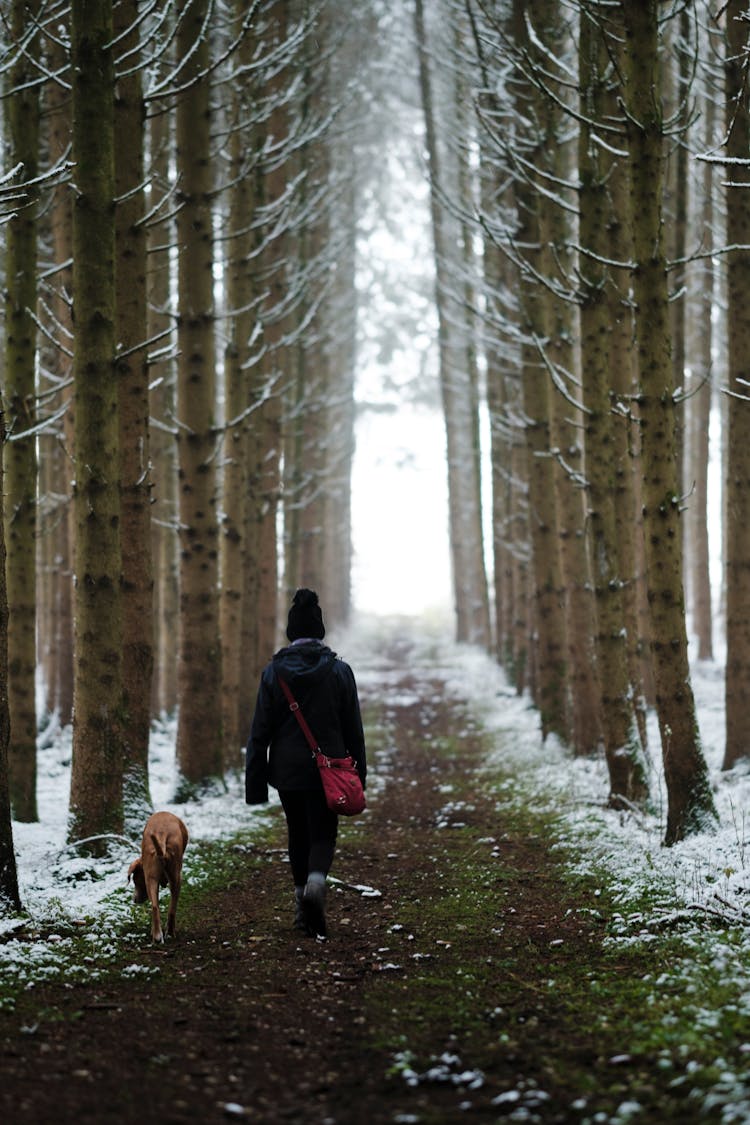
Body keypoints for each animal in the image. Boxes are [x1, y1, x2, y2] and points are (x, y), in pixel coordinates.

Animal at [127, 810, 188, 940]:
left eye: (135, 881)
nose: (134, 899)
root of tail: (161, 833)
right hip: (174, 878)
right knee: (169, 908)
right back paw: (167, 933)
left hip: (153, 879)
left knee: (156, 906)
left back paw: (158, 935)